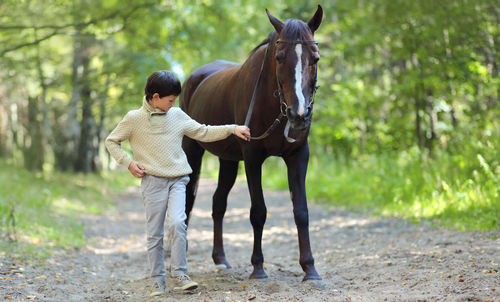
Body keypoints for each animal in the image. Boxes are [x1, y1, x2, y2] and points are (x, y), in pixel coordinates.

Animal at [180, 5, 324, 282]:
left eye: (316, 58)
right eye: (279, 57)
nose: (299, 115)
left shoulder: (298, 155)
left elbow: (301, 212)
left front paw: (310, 268)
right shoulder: (253, 157)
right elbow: (258, 212)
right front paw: (258, 267)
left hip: (227, 160)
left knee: (218, 203)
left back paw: (220, 259)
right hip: (191, 151)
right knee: (187, 201)